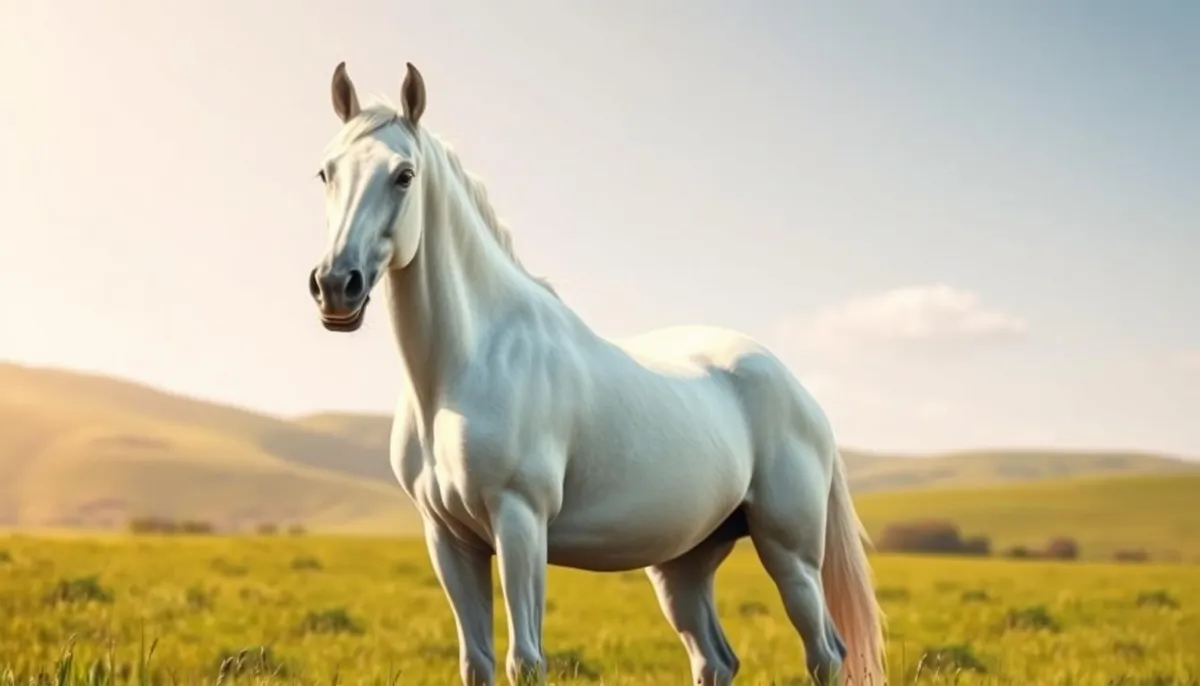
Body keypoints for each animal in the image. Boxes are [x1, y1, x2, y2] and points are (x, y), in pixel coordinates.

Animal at [305, 61, 885, 686]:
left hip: (791, 554)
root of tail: (799, 392)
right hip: (684, 563)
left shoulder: (520, 524)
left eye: (404, 175)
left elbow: (525, 661)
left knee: (825, 654)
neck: (463, 369)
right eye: (326, 171)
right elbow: (477, 664)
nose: (336, 286)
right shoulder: (449, 540)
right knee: (716, 659)